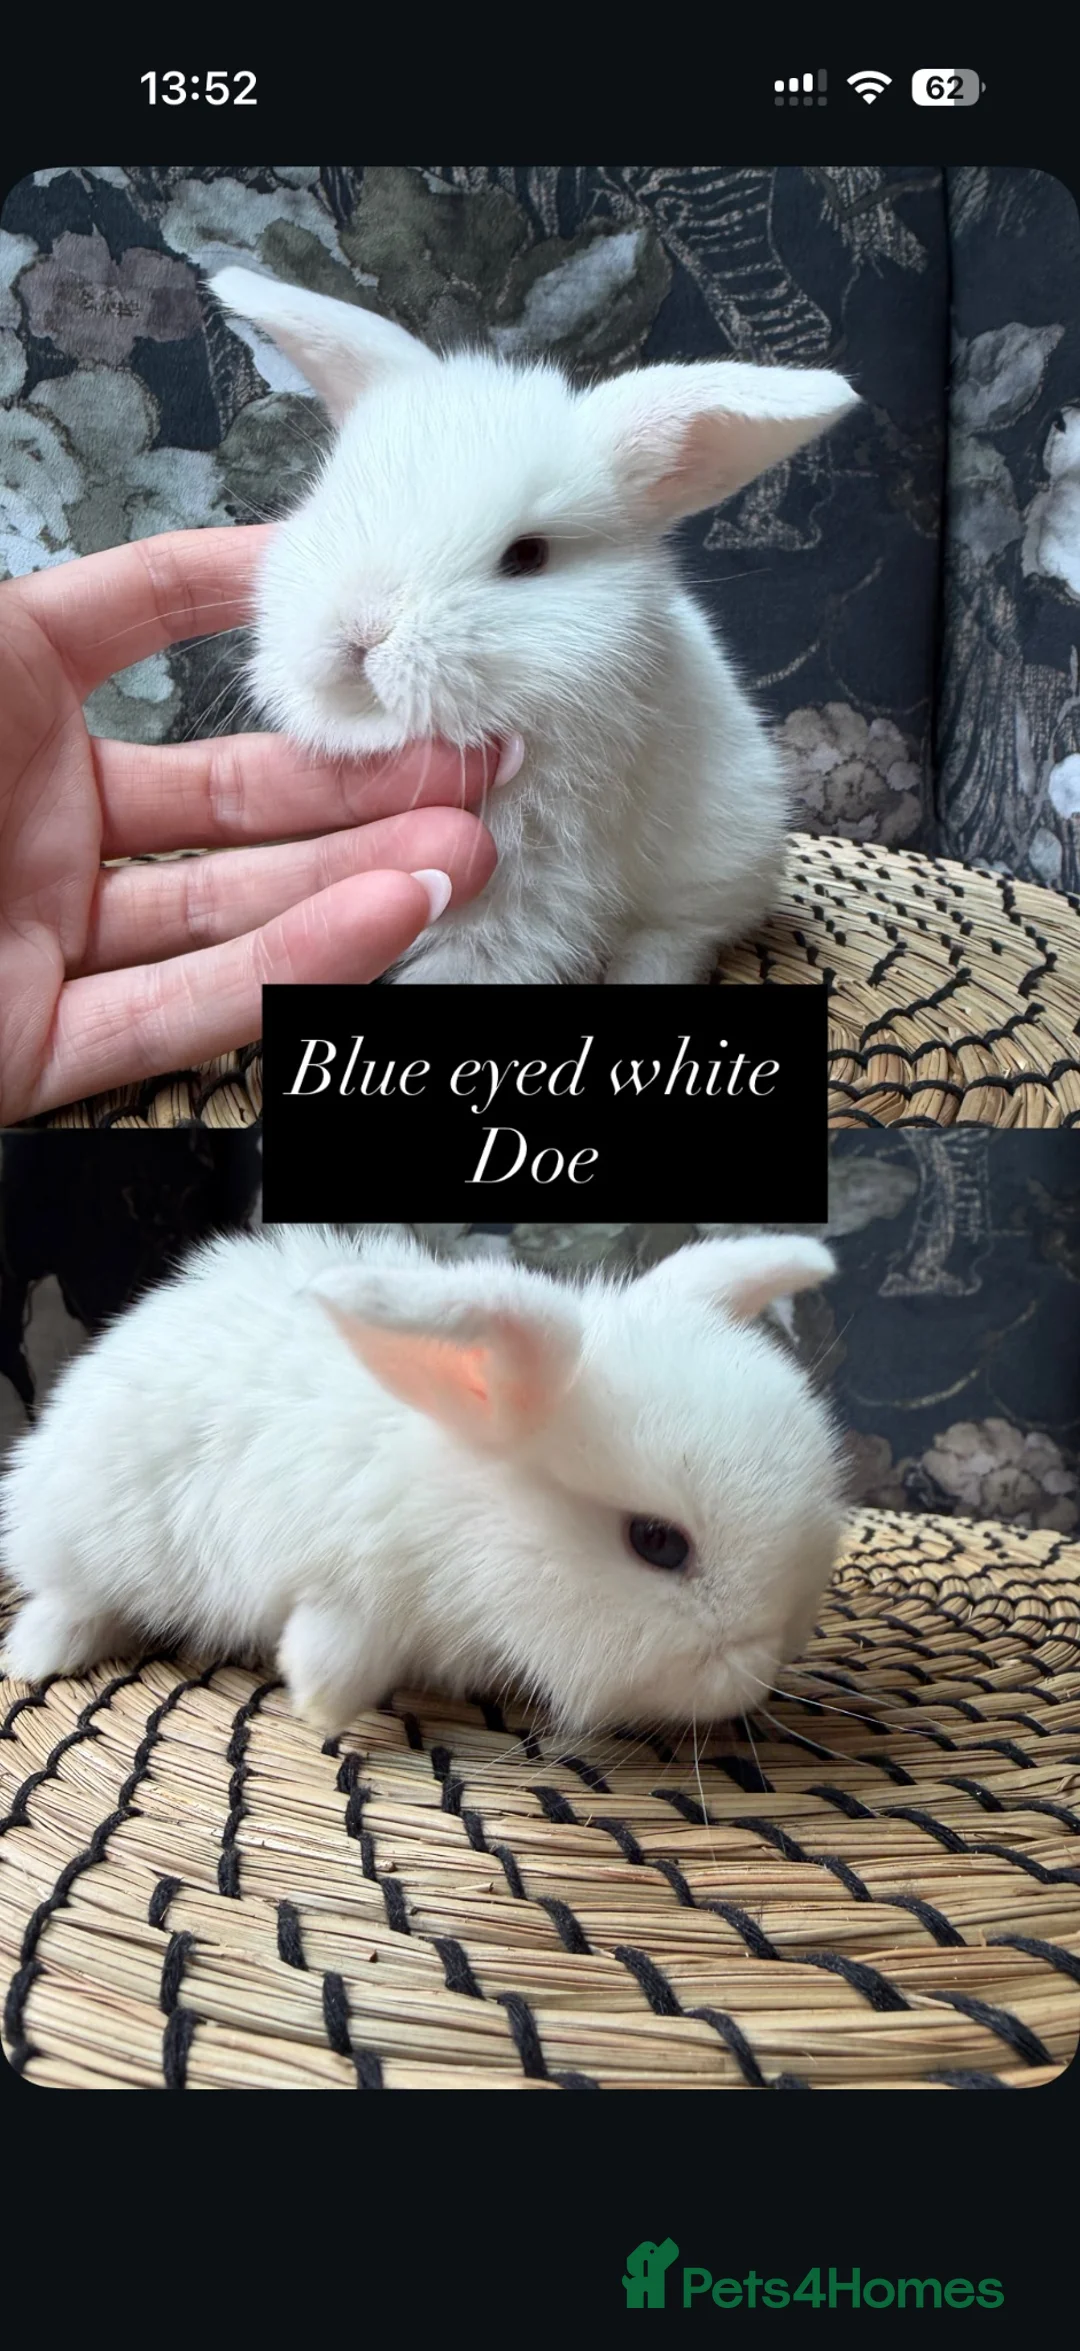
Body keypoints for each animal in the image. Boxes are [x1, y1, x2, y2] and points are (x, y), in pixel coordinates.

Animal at [0, 1227, 845, 1741]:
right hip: (86, 1541)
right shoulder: (351, 1580)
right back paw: (36, 1657)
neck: (467, 1504)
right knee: (65, 1597)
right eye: (657, 1542)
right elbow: (333, 1650)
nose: (761, 1665)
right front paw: (318, 1702)